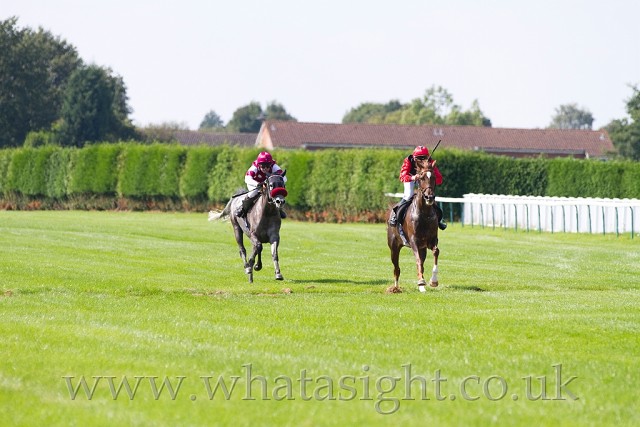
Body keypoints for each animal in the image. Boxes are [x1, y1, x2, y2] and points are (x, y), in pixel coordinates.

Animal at [386, 160, 440, 293]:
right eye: (421, 178)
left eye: (434, 177)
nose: (429, 197)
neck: (425, 214)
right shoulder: (413, 240)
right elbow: (418, 260)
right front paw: (421, 282)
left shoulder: (431, 240)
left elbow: (436, 252)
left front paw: (433, 281)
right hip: (394, 247)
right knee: (396, 268)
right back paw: (395, 288)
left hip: (423, 248)